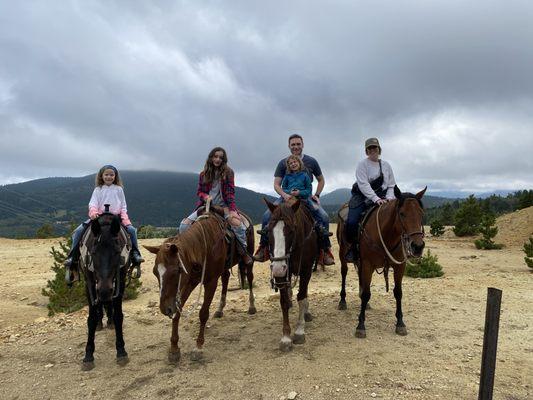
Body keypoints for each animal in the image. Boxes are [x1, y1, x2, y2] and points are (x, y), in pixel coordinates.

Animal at [78, 214, 131, 370]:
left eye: (117, 252)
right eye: (94, 252)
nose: (104, 290)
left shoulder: (119, 281)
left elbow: (118, 315)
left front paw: (121, 351)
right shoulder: (89, 283)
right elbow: (91, 318)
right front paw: (88, 355)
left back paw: (109, 321)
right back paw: (101, 323)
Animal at [144, 209, 255, 362]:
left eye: (176, 271)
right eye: (155, 272)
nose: (165, 309)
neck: (204, 245)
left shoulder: (211, 282)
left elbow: (203, 313)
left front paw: (198, 346)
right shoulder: (190, 281)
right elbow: (178, 312)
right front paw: (174, 348)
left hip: (249, 258)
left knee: (249, 277)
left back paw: (251, 306)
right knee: (225, 278)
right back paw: (220, 309)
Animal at [264, 196, 318, 350]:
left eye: (292, 230)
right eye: (268, 231)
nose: (277, 268)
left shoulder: (306, 270)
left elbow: (302, 298)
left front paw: (299, 331)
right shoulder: (282, 275)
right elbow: (283, 301)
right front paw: (286, 337)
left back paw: (306, 313)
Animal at [336, 185, 424, 338]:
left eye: (421, 213)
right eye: (402, 214)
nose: (418, 247)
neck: (386, 234)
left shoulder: (399, 266)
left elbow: (398, 292)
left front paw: (400, 323)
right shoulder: (368, 264)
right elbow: (367, 293)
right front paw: (360, 326)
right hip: (343, 253)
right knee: (344, 273)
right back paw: (342, 300)